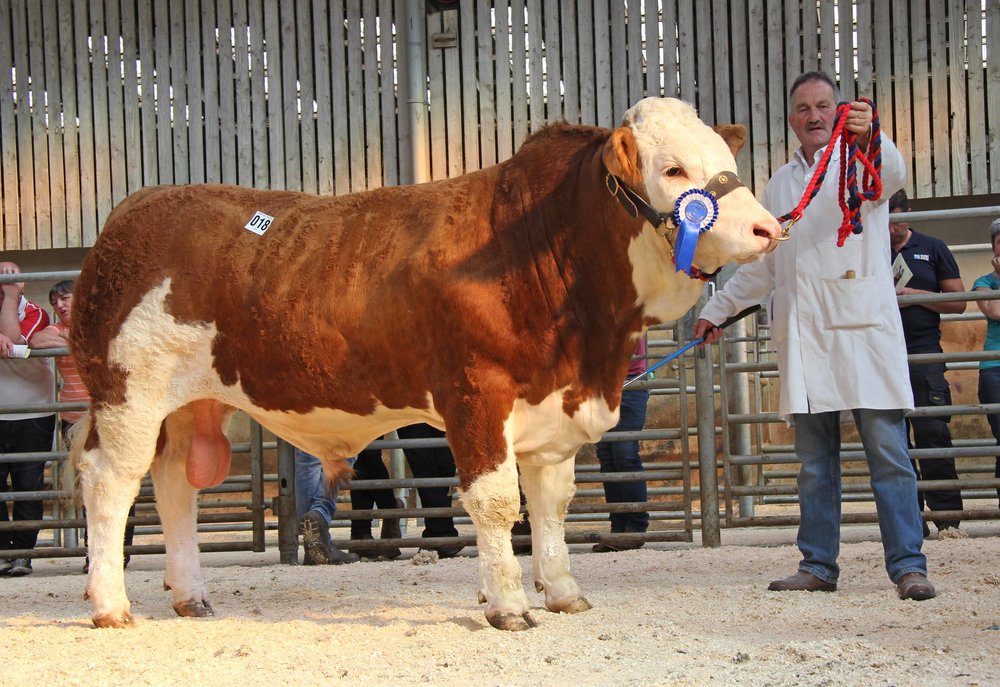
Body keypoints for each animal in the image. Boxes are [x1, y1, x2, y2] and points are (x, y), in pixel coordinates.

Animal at [70, 97, 780, 628]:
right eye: (673, 170)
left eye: (726, 161)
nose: (767, 229)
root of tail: (132, 212)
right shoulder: (476, 393)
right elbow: (496, 502)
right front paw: (508, 605)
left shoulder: (554, 408)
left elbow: (551, 505)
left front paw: (562, 591)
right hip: (129, 393)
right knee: (111, 482)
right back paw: (110, 604)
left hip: (192, 405)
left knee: (174, 486)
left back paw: (191, 595)